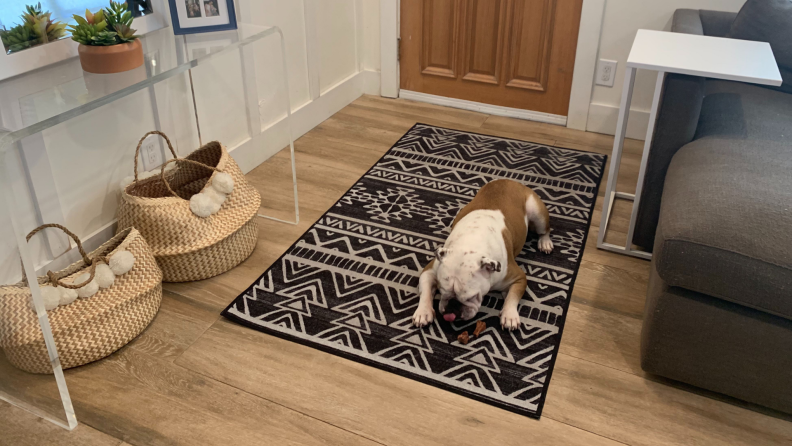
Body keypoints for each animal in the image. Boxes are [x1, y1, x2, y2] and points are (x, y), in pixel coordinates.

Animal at [414, 179, 552, 330]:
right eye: (441, 291)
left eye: (471, 297)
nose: (452, 307)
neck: (470, 244)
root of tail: (509, 180)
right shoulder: (429, 271)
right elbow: (425, 291)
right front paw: (423, 311)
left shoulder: (519, 278)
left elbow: (513, 296)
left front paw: (509, 315)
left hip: (538, 214)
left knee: (544, 231)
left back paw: (545, 243)